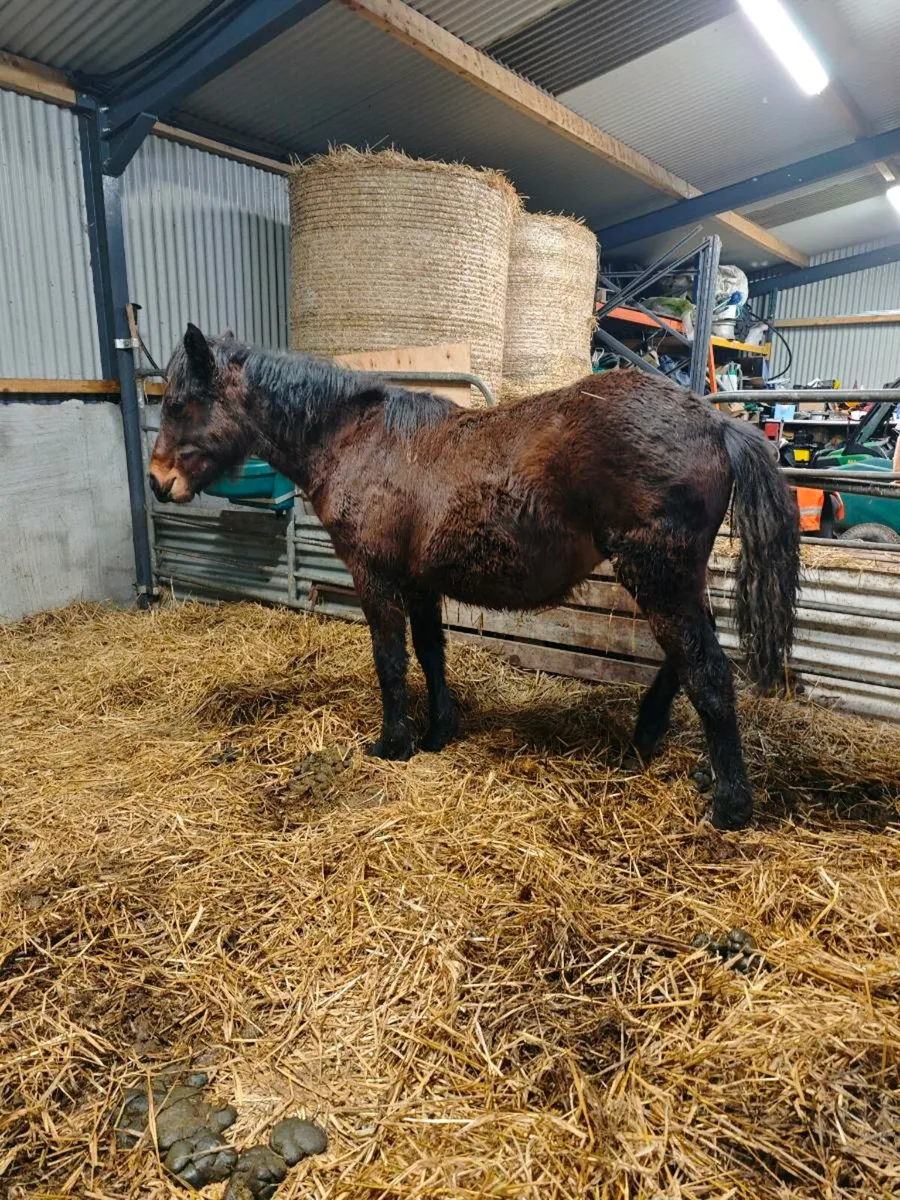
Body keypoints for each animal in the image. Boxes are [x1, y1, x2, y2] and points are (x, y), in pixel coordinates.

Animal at [149, 324, 800, 830]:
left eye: (178, 404)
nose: (157, 482)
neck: (360, 440)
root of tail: (716, 424)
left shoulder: (375, 577)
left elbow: (391, 660)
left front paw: (393, 744)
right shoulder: (419, 582)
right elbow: (431, 653)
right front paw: (439, 731)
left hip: (658, 577)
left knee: (708, 672)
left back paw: (729, 804)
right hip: (671, 580)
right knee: (686, 660)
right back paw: (652, 743)